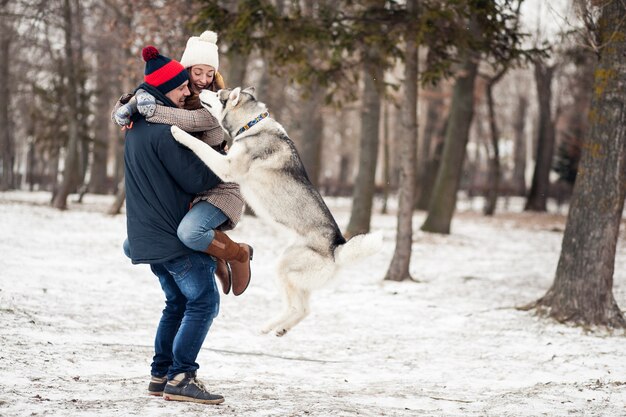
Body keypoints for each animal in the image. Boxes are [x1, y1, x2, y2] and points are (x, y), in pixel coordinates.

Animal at [169, 87, 380, 334]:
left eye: (219, 93)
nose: (201, 89)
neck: (251, 125)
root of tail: (337, 248)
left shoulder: (227, 167)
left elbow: (200, 146)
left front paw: (178, 131)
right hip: (295, 276)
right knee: (305, 309)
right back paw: (280, 329)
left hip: (283, 267)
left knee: (296, 307)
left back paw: (268, 326)